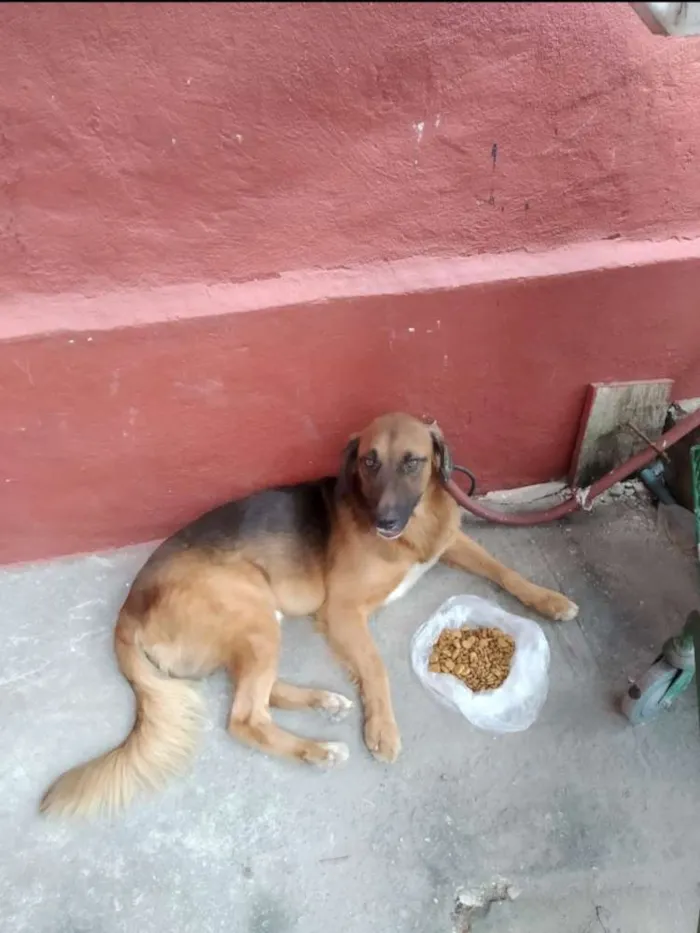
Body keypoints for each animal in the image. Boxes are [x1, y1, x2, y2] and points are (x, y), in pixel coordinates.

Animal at [41, 414, 576, 816]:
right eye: (368, 461)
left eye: (413, 462)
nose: (383, 520)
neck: (414, 529)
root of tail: (128, 608)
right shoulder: (342, 611)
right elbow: (376, 667)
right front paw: (382, 730)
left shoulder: (451, 544)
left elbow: (504, 570)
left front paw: (549, 598)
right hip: (252, 608)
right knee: (245, 716)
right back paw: (317, 749)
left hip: (257, 623)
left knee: (255, 690)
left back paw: (323, 701)